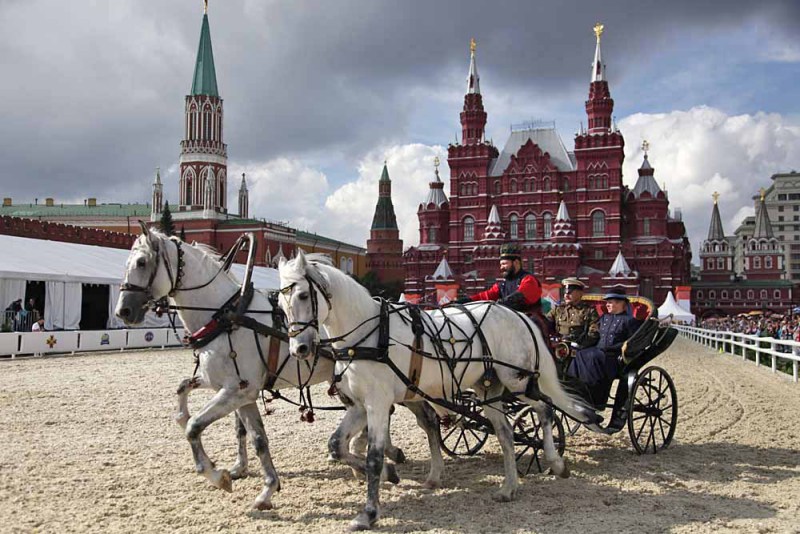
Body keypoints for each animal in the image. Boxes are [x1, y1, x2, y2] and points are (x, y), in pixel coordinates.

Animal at [115, 226, 410, 510]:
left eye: (141, 262)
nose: (122, 311)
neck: (226, 315)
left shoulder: (238, 391)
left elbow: (195, 427)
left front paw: (217, 475)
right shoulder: (235, 390)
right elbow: (252, 435)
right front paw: (265, 486)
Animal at [278, 251, 596, 532]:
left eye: (303, 295)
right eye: (280, 302)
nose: (299, 349)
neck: (369, 334)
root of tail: (519, 316)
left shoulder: (377, 405)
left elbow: (373, 457)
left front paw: (368, 513)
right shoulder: (358, 405)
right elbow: (337, 446)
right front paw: (391, 473)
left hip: (519, 382)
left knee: (545, 409)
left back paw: (555, 462)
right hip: (488, 389)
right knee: (506, 433)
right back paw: (509, 487)